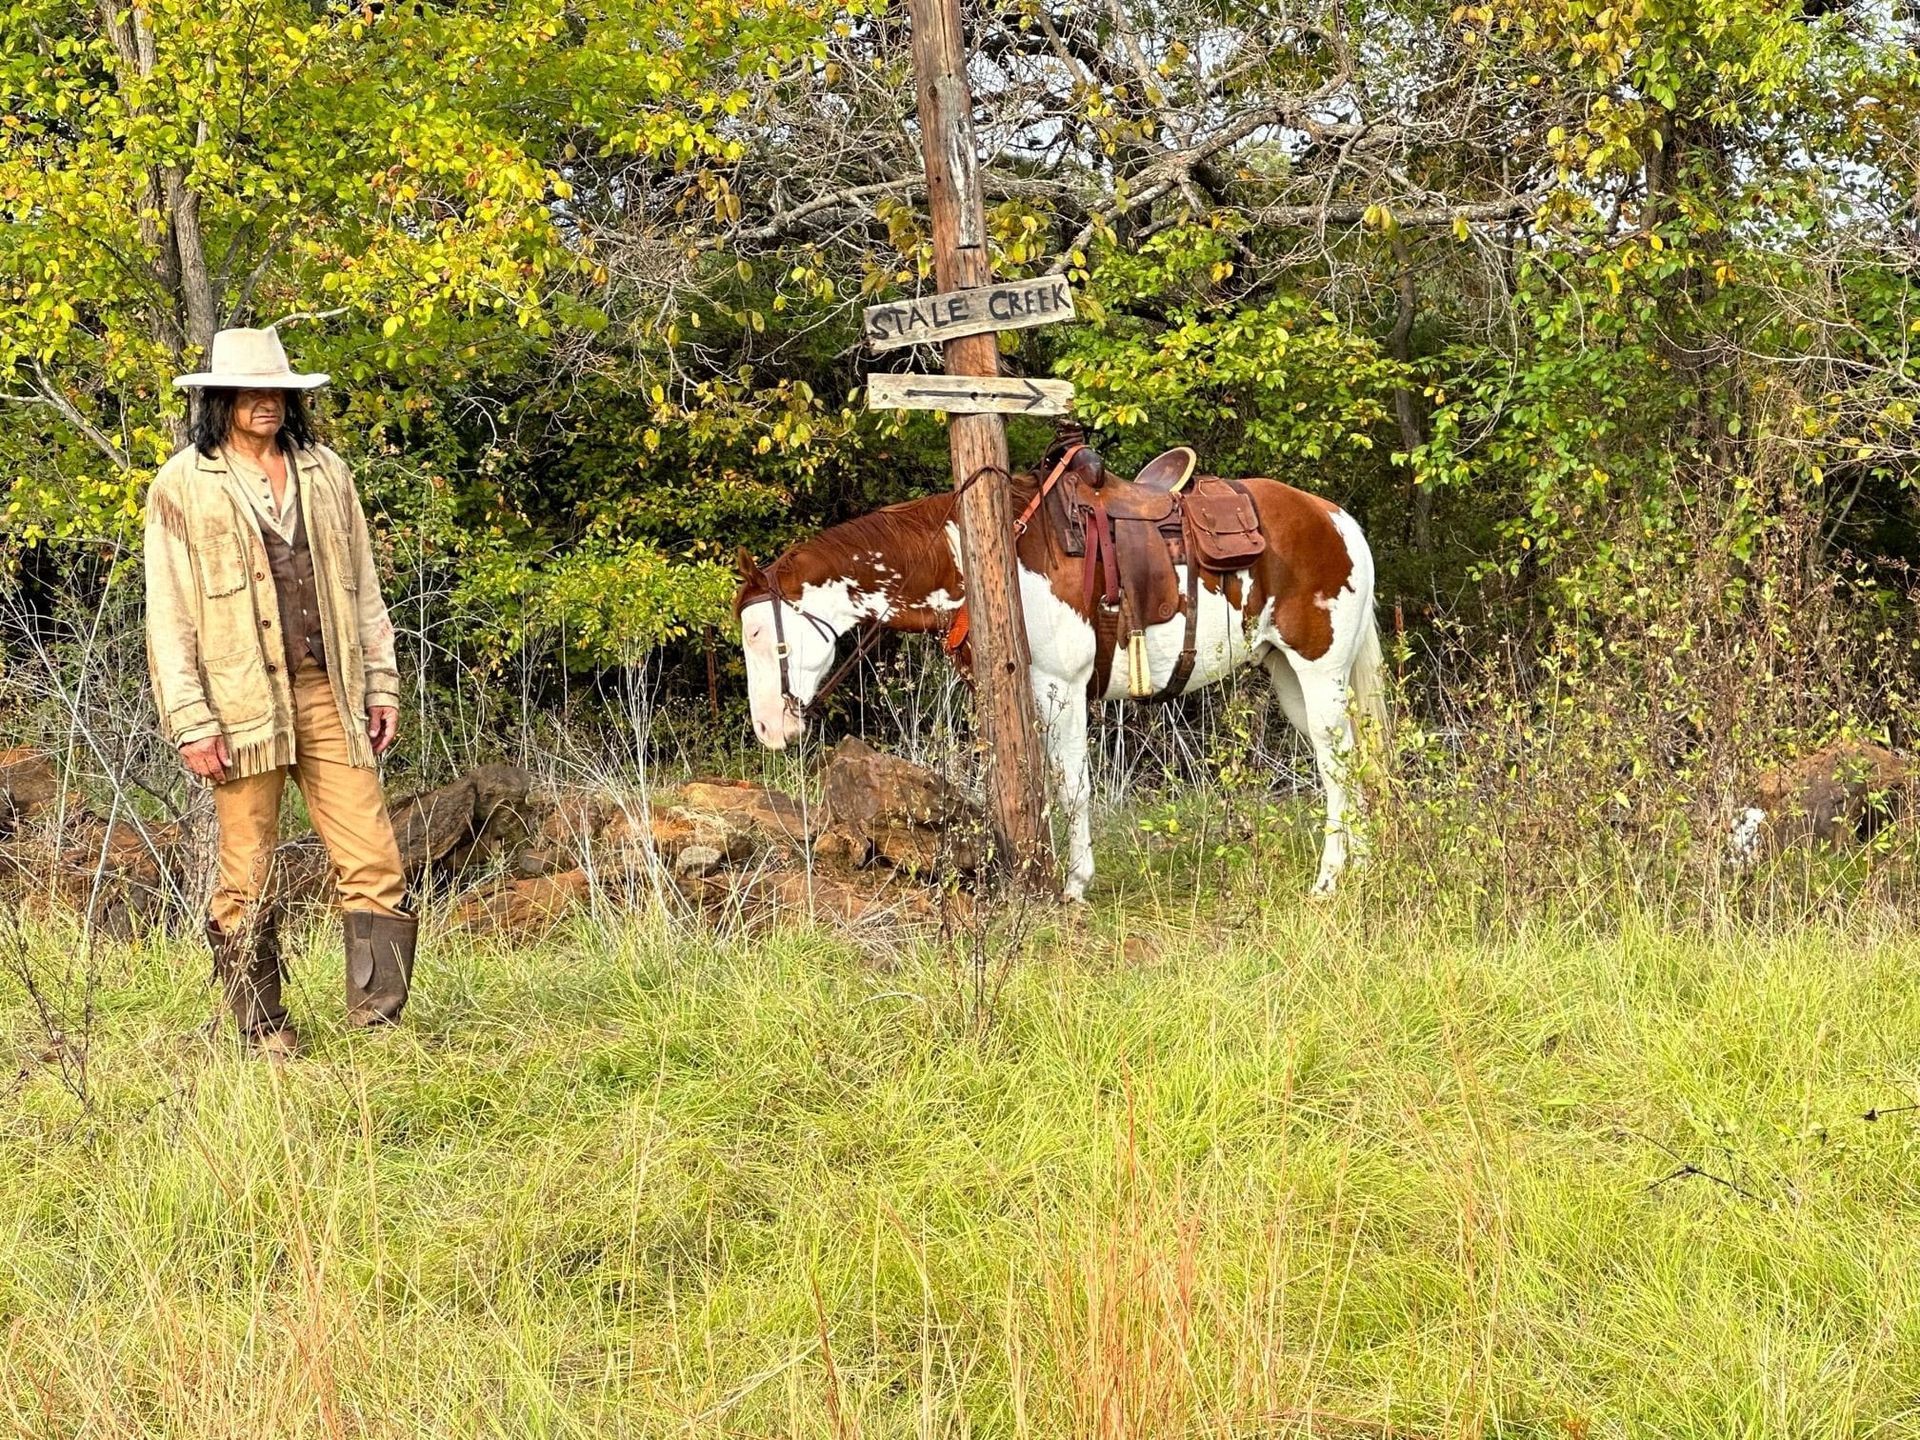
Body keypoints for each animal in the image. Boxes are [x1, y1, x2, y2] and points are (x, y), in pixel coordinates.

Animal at [732, 454, 1386, 900]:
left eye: (760, 634)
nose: (767, 729)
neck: (981, 558)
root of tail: (1338, 520)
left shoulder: (1061, 688)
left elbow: (1070, 787)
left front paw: (1074, 884)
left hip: (1321, 671)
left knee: (1338, 765)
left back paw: (1329, 879)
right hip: (1288, 674)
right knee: (1348, 762)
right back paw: (1359, 865)